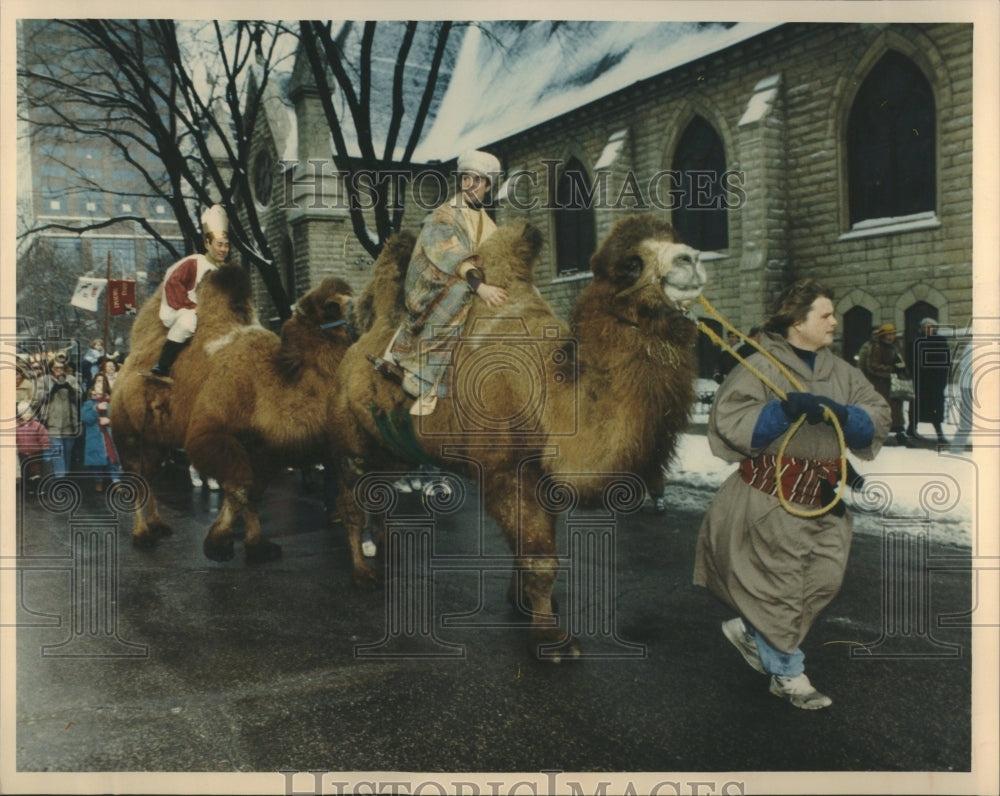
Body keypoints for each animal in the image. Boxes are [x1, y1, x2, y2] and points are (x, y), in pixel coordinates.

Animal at [111, 264, 356, 564]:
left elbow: (251, 493)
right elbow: (239, 485)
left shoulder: (264, 448)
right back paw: (143, 534)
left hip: (157, 440)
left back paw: (158, 525)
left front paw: (257, 545)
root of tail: (124, 370)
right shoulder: (210, 433)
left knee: (150, 475)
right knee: (135, 475)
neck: (271, 380)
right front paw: (219, 544)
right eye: (332, 307)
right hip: (125, 432)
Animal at [332, 215, 708, 656]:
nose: (691, 259)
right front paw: (552, 641)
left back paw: (387, 552)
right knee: (352, 502)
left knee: (381, 492)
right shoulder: (506, 471)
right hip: (351, 444)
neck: (553, 393)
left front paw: (522, 602)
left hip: (392, 450)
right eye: (631, 264)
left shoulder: (544, 476)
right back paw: (363, 573)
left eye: (676, 239)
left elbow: (524, 547)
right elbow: (540, 558)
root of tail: (356, 349)